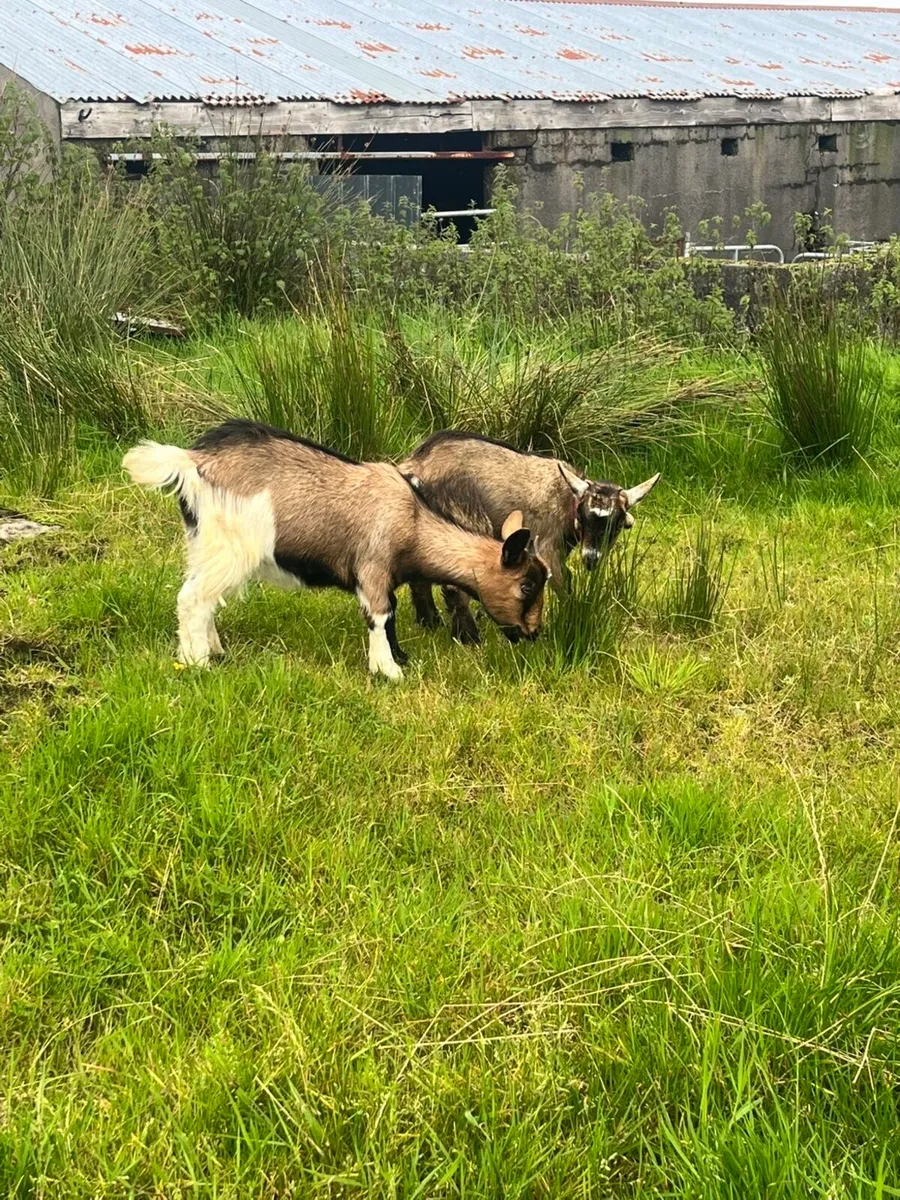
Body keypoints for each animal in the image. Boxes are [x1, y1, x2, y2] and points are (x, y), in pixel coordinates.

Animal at [123, 420, 549, 680]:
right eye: (527, 585)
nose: (533, 633)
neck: (413, 519)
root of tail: (192, 460)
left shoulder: (385, 576)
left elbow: (391, 616)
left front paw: (399, 657)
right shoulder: (373, 566)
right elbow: (380, 614)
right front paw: (389, 671)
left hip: (203, 544)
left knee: (205, 599)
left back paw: (216, 650)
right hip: (228, 546)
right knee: (192, 599)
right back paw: (197, 662)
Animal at [399, 430, 659, 645]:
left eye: (616, 525)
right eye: (584, 517)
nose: (591, 558)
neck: (565, 498)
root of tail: (413, 467)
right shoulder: (547, 546)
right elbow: (564, 582)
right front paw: (569, 621)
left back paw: (430, 623)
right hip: (464, 514)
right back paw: (469, 638)